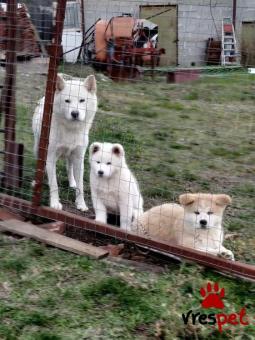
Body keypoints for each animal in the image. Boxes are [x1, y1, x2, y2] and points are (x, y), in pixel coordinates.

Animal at [32, 73, 97, 210]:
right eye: (67, 101)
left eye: (82, 100)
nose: (75, 113)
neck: (70, 129)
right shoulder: (50, 156)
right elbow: (54, 184)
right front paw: (54, 204)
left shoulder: (79, 158)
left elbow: (81, 185)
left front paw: (81, 204)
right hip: (38, 148)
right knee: (41, 166)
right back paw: (39, 178)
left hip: (71, 156)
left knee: (69, 167)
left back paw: (72, 182)